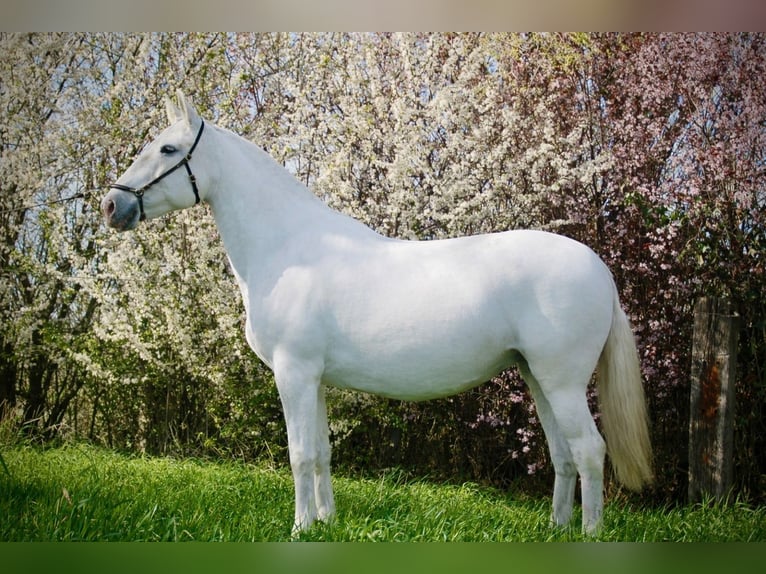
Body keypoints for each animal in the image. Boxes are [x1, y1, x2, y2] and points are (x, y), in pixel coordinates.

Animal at [101, 91, 652, 536]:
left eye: (168, 149)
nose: (111, 207)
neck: (287, 248)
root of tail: (600, 270)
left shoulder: (293, 372)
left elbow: (299, 454)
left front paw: (300, 528)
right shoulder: (314, 379)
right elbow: (322, 452)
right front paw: (326, 521)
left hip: (562, 382)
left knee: (589, 450)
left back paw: (589, 534)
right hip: (538, 378)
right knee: (563, 454)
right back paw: (557, 529)